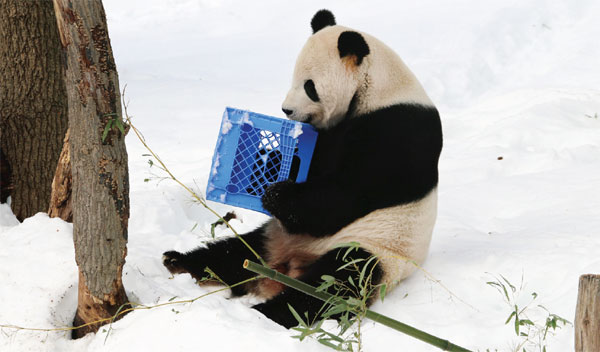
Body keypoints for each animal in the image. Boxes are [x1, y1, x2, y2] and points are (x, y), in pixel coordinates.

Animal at [162, 9, 442, 328]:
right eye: (293, 79)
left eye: (310, 86)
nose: (286, 110)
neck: (378, 88)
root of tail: (286, 268)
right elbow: (310, 165)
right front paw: (268, 163)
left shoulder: (399, 130)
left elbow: (347, 193)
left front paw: (277, 194)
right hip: (274, 236)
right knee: (235, 252)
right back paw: (179, 262)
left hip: (375, 250)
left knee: (331, 284)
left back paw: (267, 314)